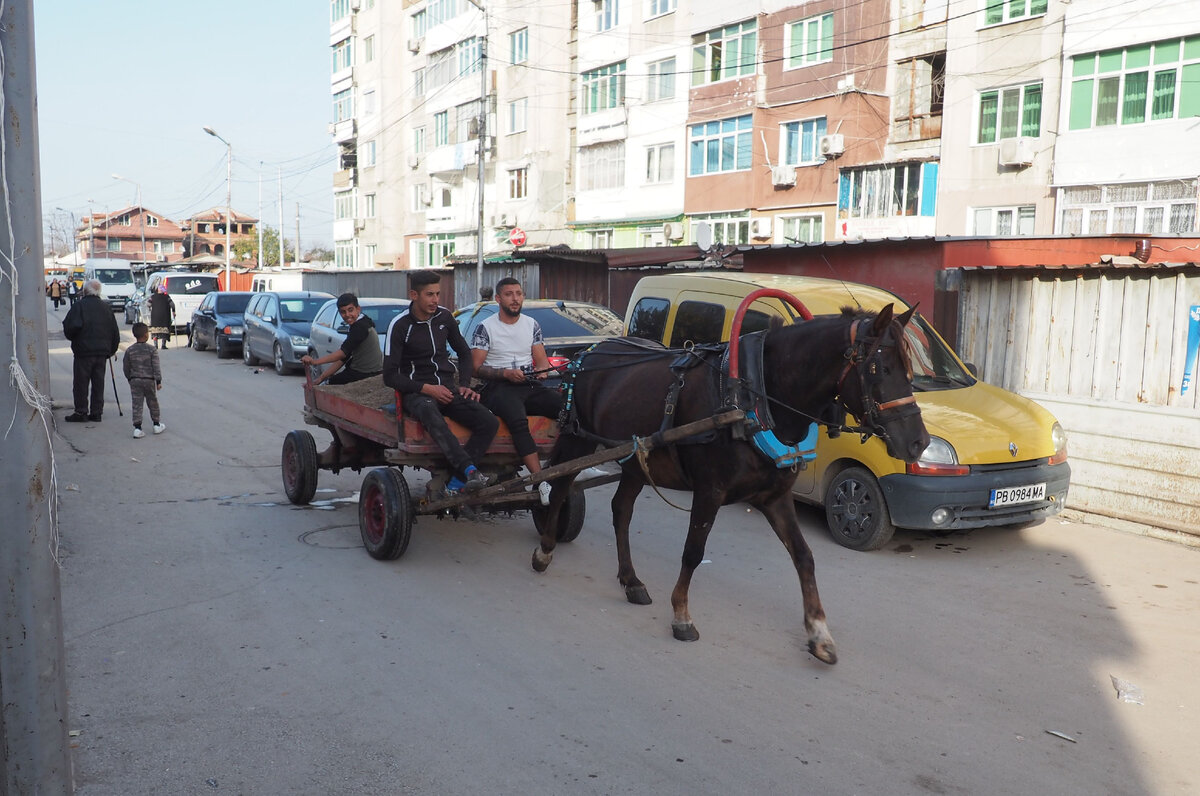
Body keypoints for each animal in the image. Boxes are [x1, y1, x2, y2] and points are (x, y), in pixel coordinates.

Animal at [535, 304, 926, 667]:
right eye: (879, 369)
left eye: (908, 370)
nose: (918, 443)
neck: (754, 397)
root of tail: (590, 352)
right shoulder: (710, 491)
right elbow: (693, 552)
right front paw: (681, 615)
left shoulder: (775, 496)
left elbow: (804, 557)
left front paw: (819, 633)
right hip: (578, 439)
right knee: (559, 486)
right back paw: (545, 550)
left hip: (635, 459)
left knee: (621, 510)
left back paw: (631, 581)